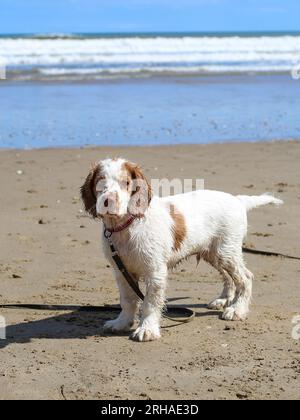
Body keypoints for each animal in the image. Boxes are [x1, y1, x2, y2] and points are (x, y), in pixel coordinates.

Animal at [81, 158, 282, 342]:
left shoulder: (155, 272)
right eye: (100, 182)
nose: (108, 201)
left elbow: (150, 302)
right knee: (229, 277)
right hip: (214, 253)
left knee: (245, 278)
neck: (127, 226)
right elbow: (127, 300)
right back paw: (223, 300)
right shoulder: (121, 270)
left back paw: (237, 310)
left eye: (126, 183)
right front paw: (121, 323)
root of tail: (237, 200)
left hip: (226, 252)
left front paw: (147, 329)